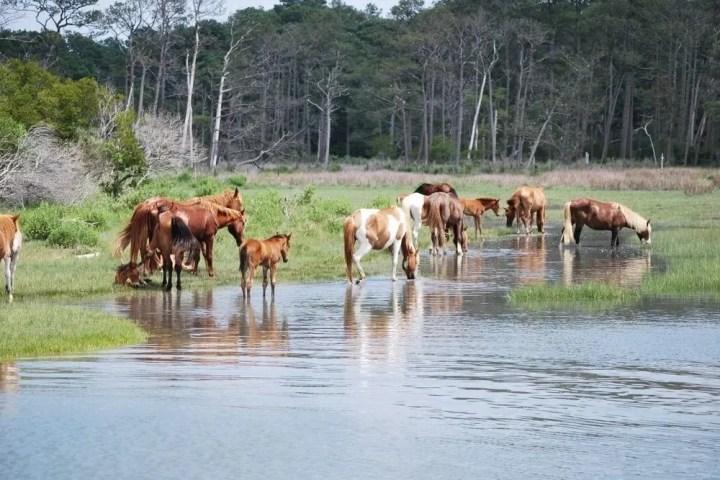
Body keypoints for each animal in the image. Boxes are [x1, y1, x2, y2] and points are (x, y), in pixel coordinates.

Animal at [114, 188, 245, 277]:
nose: (242, 241)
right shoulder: (209, 238)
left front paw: (195, 270)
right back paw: (153, 269)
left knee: (148, 250)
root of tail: (147, 205)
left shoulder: (199, 239)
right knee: (151, 251)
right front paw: (209, 272)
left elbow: (199, 255)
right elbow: (208, 254)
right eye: (244, 223)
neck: (211, 212)